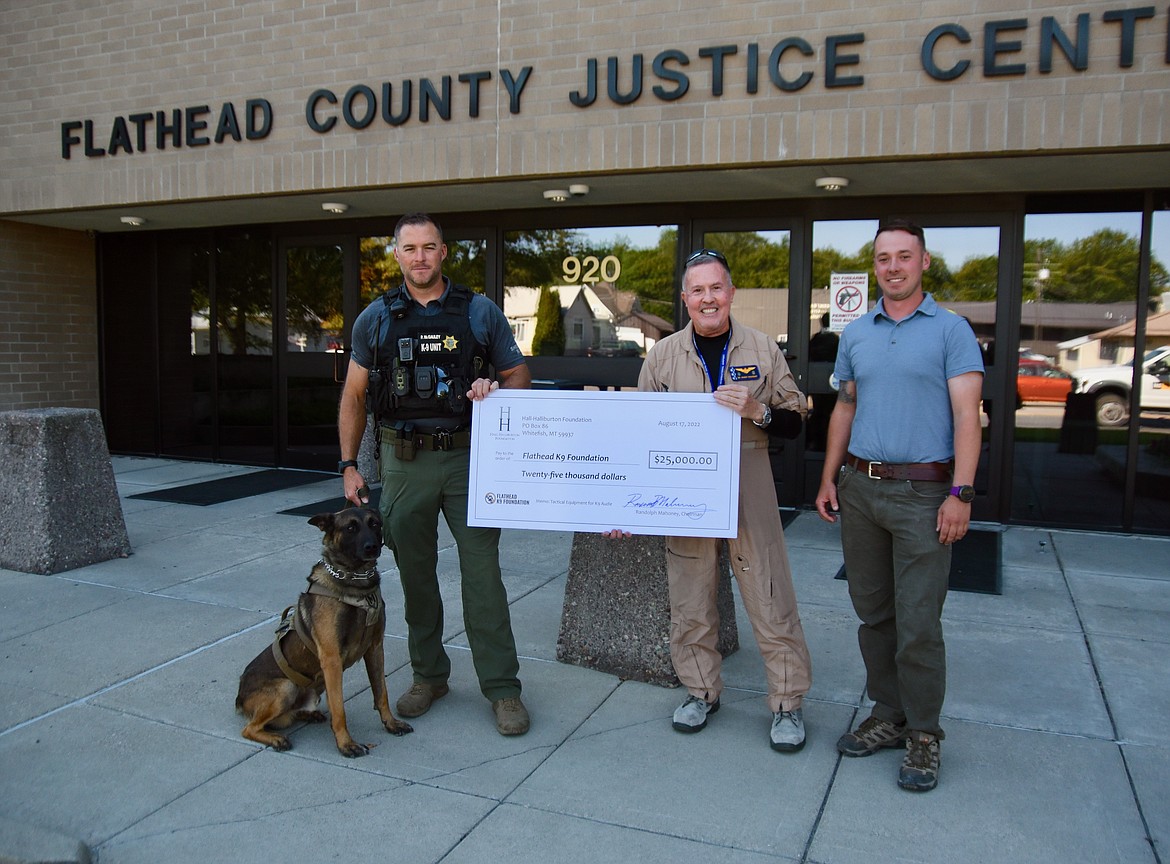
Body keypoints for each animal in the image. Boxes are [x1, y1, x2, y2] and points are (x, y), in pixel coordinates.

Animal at [232, 505, 411, 753]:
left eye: (374, 524)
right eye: (350, 528)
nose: (372, 547)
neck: (355, 581)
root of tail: (239, 698)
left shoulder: (375, 648)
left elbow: (381, 693)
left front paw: (391, 723)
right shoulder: (331, 658)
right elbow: (339, 708)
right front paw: (346, 744)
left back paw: (308, 715)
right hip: (286, 687)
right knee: (249, 728)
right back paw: (276, 739)